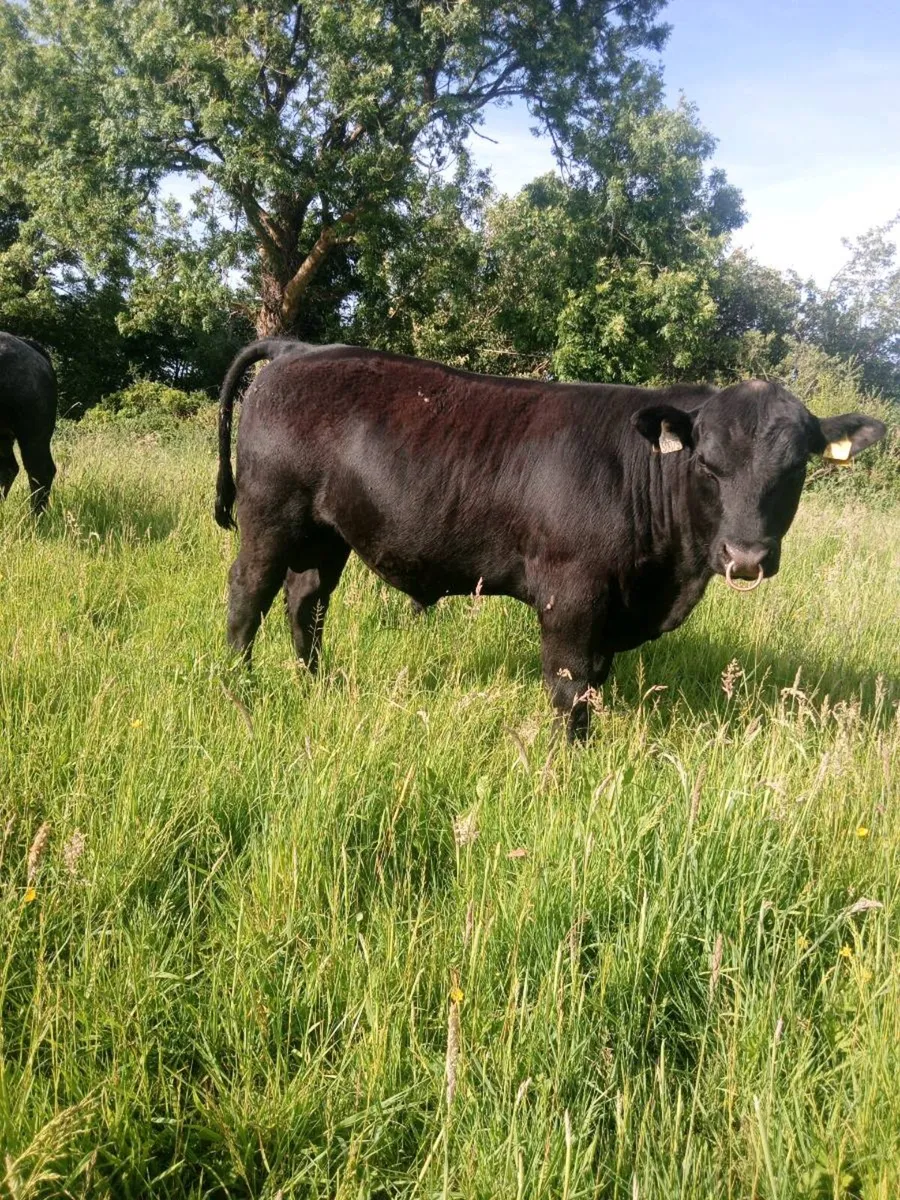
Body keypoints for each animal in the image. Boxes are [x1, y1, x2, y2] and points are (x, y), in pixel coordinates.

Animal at [215, 340, 886, 739]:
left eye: (794, 469)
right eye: (707, 465)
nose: (745, 556)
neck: (666, 583)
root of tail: (299, 348)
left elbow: (595, 680)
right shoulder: (573, 595)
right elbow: (571, 686)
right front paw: (572, 763)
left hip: (326, 534)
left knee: (306, 602)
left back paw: (315, 684)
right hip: (269, 517)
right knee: (248, 594)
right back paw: (240, 690)